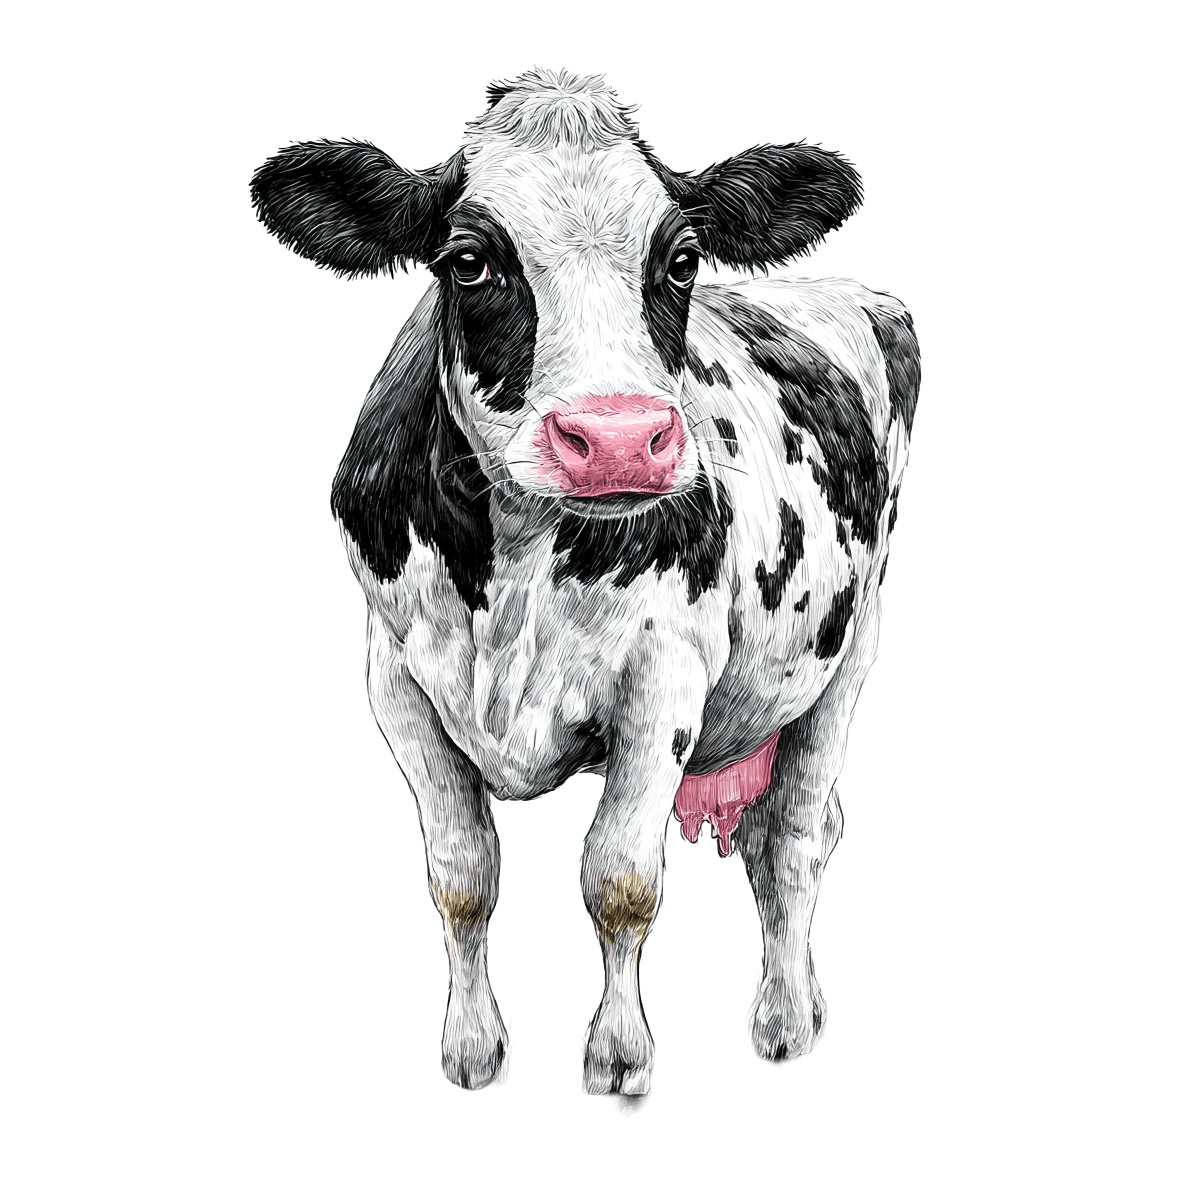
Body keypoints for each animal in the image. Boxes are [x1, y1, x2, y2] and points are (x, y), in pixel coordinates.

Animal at [250, 67, 920, 1096]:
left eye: (681, 259)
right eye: (468, 260)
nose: (616, 439)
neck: (515, 577)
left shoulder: (666, 679)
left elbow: (620, 880)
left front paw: (618, 1053)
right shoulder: (394, 681)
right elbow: (461, 875)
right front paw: (471, 1048)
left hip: (853, 643)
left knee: (795, 836)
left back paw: (783, 1018)